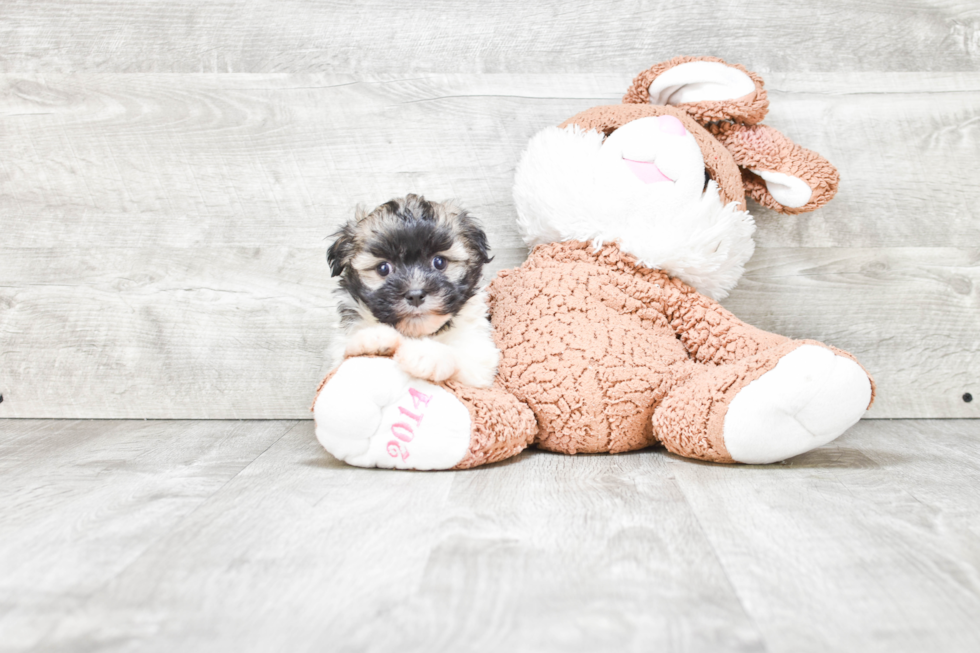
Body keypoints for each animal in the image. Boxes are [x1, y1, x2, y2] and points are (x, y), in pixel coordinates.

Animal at [328, 194, 502, 388]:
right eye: (383, 268)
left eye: (439, 262)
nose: (415, 295)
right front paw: (373, 337)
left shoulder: (480, 360)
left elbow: (461, 358)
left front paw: (427, 355)